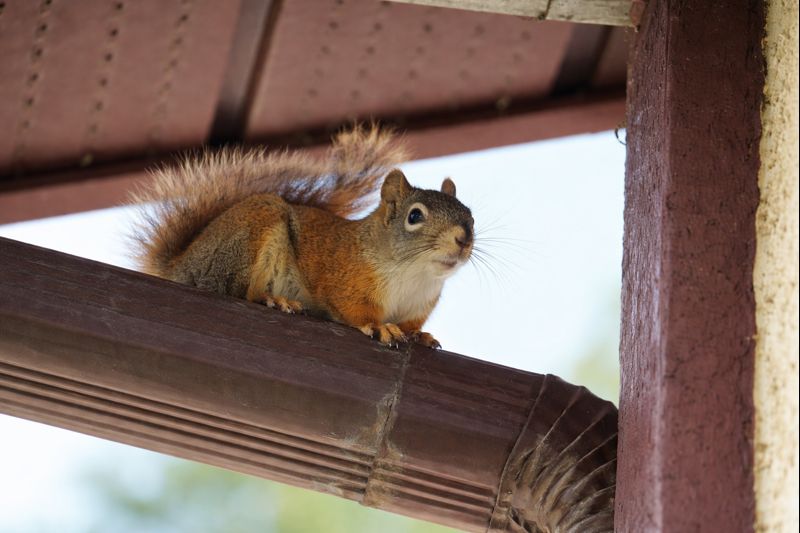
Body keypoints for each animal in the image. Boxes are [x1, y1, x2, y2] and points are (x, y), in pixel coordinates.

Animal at [130, 126, 474, 348]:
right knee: (240, 292)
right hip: (247, 239)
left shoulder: (418, 308)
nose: (463, 239)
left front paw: (419, 336)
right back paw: (274, 299)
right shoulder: (345, 280)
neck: (414, 274)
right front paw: (379, 327)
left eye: (470, 217)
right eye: (414, 216)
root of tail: (182, 264)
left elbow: (411, 326)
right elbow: (354, 310)